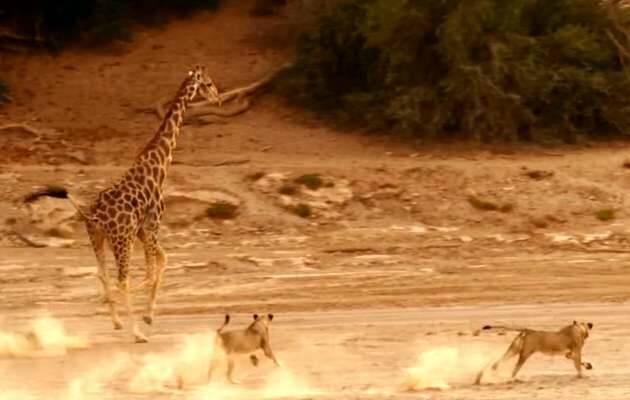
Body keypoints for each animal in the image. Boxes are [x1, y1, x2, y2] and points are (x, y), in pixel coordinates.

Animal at [24, 64, 222, 342]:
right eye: (208, 84)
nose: (218, 99)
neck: (159, 165)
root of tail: (93, 215)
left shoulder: (142, 231)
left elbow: (162, 262)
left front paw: (148, 314)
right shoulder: (151, 225)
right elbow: (151, 272)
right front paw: (143, 317)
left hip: (97, 237)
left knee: (103, 273)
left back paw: (118, 320)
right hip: (121, 239)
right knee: (122, 279)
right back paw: (136, 332)